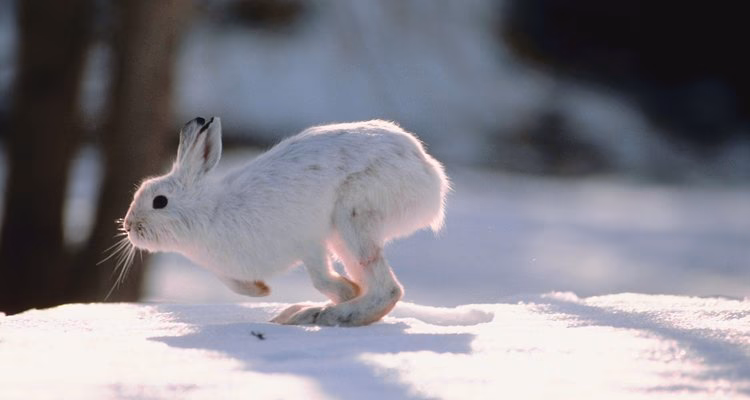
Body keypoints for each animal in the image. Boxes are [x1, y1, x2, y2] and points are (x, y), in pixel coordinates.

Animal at [121, 117, 449, 326]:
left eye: (160, 201)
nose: (128, 226)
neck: (208, 212)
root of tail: (430, 173)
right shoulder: (230, 271)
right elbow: (239, 287)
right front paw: (262, 292)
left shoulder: (309, 243)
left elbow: (321, 278)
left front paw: (345, 292)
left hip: (351, 217)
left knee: (387, 289)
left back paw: (329, 315)